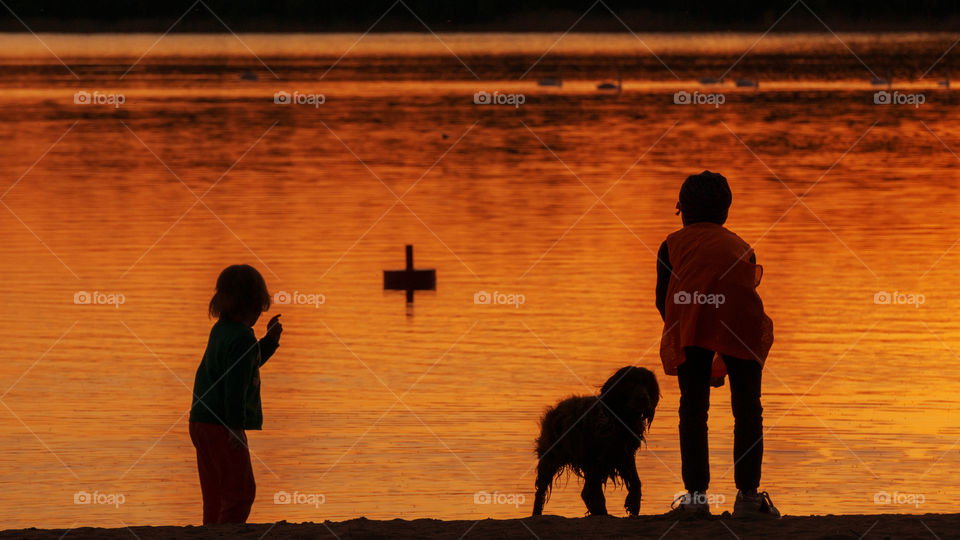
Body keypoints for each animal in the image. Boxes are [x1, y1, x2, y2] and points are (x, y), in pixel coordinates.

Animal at [532, 368, 660, 516]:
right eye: (630, 383)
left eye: (647, 383)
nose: (644, 398)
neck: (621, 421)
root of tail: (555, 409)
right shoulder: (596, 461)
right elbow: (594, 494)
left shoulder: (625, 456)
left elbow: (635, 481)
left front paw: (634, 504)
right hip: (550, 459)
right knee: (541, 491)